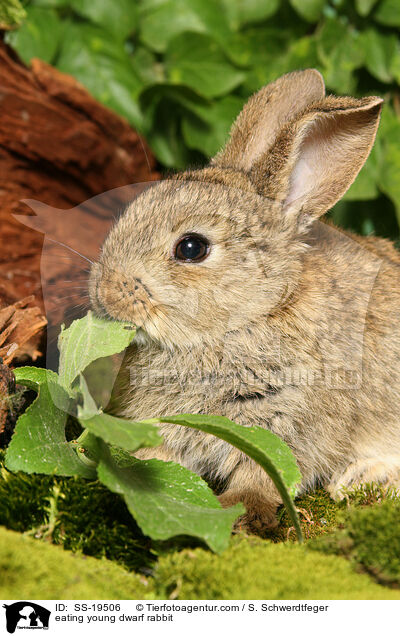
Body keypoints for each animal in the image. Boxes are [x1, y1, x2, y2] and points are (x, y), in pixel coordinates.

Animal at [90, 69, 400, 532]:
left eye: (191, 248)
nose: (104, 293)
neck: (252, 315)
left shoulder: (287, 424)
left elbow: (264, 476)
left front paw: (236, 513)